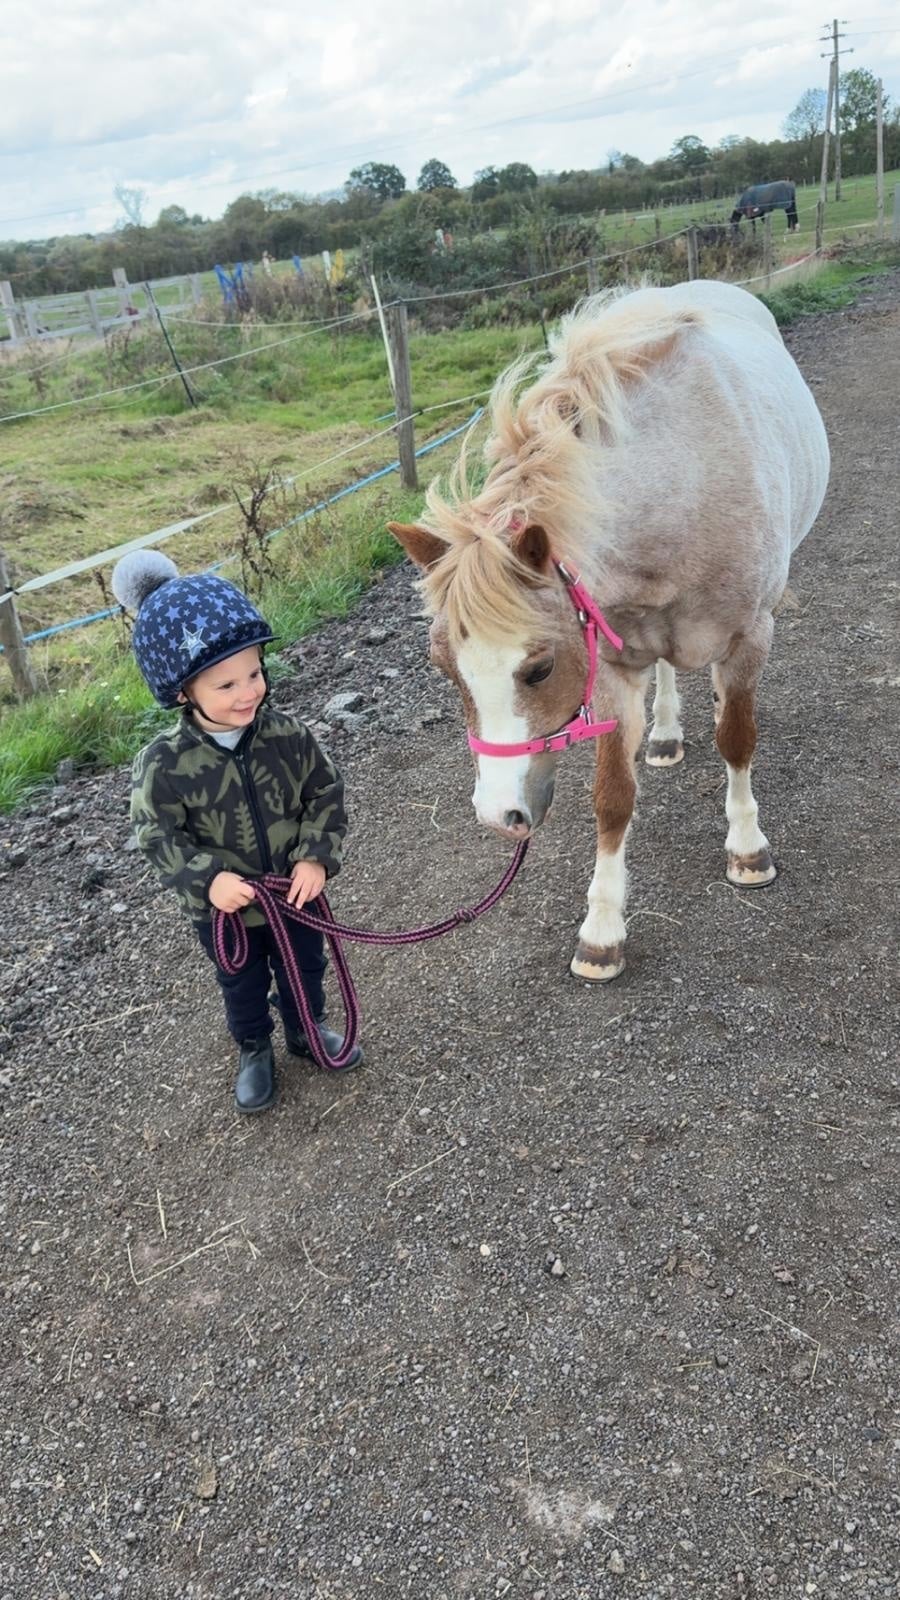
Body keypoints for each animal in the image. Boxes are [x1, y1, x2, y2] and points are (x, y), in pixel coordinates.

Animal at [388, 279, 829, 982]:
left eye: (539, 668)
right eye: (444, 669)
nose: (499, 815)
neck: (680, 477)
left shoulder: (748, 638)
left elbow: (737, 741)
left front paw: (747, 847)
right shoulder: (614, 662)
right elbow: (613, 797)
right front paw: (601, 930)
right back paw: (668, 733)